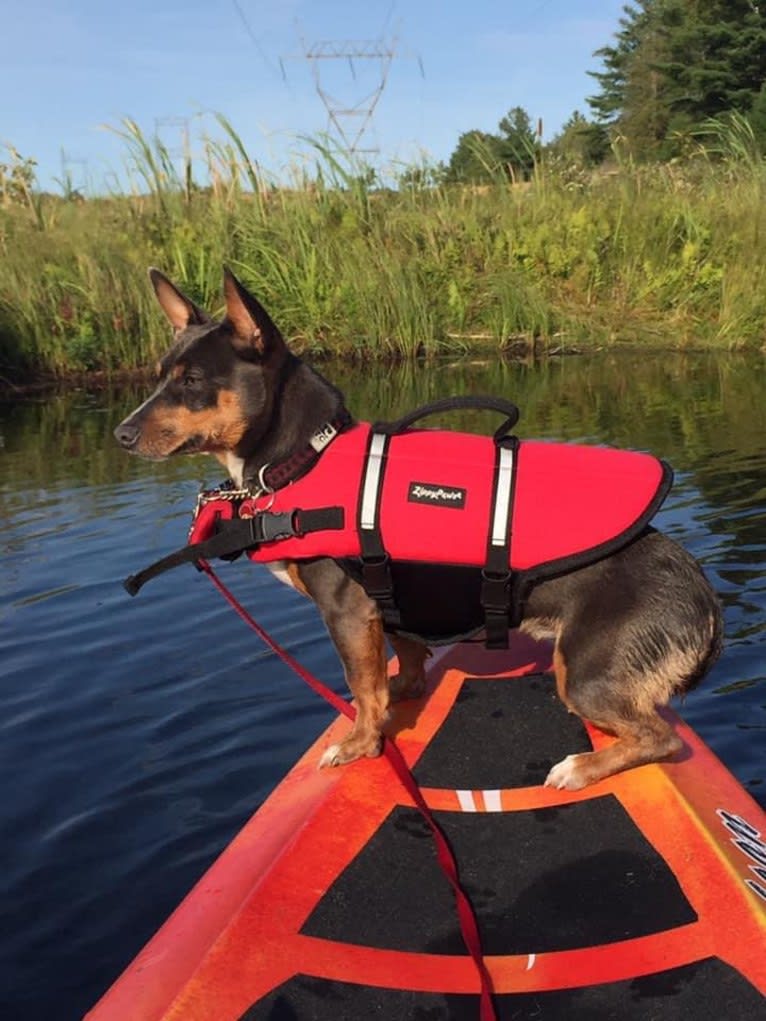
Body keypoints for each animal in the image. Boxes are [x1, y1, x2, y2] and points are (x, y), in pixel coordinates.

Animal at [115, 269, 727, 788]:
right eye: (159, 378)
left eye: (193, 381)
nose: (121, 435)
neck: (304, 458)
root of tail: (703, 599)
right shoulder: (386, 602)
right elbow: (399, 660)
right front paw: (402, 696)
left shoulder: (346, 609)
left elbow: (360, 687)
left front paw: (360, 744)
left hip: (582, 673)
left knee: (661, 739)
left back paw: (579, 768)